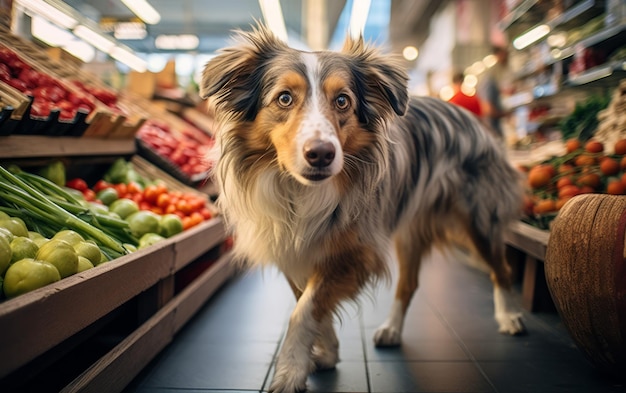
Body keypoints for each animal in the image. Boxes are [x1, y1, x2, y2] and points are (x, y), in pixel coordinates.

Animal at [199, 25, 520, 392]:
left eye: (342, 101)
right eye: (284, 98)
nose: (322, 154)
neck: (299, 193)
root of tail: (470, 117)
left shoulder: (357, 251)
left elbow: (304, 310)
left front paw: (290, 371)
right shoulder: (292, 250)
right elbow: (310, 304)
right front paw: (326, 353)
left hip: (478, 219)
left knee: (501, 268)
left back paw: (509, 316)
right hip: (410, 228)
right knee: (408, 284)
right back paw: (392, 329)